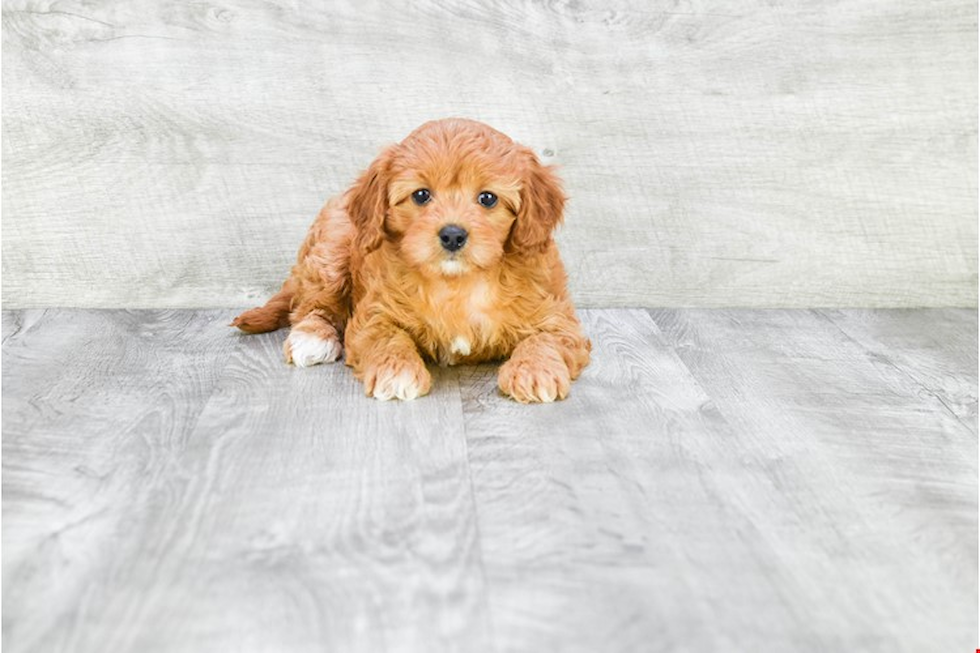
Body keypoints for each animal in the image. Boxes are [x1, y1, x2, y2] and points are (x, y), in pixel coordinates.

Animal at [232, 118, 588, 402]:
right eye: (421, 195)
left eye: (487, 198)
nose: (453, 235)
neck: (457, 282)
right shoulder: (375, 313)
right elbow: (388, 337)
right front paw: (397, 372)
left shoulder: (558, 316)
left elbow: (547, 339)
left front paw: (534, 371)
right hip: (331, 250)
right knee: (310, 305)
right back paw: (312, 337)